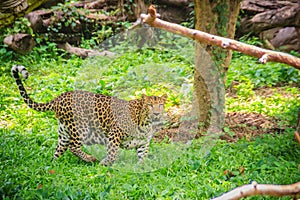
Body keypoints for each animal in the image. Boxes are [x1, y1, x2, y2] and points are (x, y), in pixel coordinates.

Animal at [11, 65, 168, 166]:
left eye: (160, 105)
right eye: (150, 105)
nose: (156, 113)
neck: (145, 123)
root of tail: (59, 98)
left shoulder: (143, 144)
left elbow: (142, 158)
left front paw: (141, 170)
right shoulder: (114, 133)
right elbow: (113, 153)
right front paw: (105, 163)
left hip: (64, 132)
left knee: (59, 150)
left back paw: (53, 167)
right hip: (80, 127)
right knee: (73, 146)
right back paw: (90, 159)